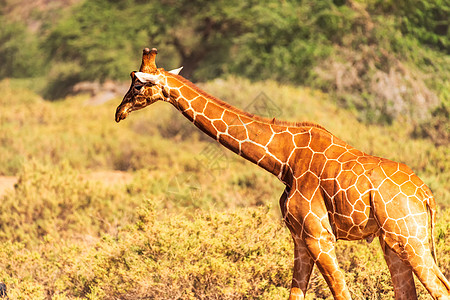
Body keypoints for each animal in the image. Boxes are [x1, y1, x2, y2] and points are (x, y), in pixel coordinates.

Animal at [114, 48, 448, 298]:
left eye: (137, 84)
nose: (119, 112)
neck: (284, 160)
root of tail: (426, 195)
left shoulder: (319, 236)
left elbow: (341, 293)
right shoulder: (300, 238)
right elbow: (296, 294)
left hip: (408, 238)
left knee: (439, 289)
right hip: (393, 242)